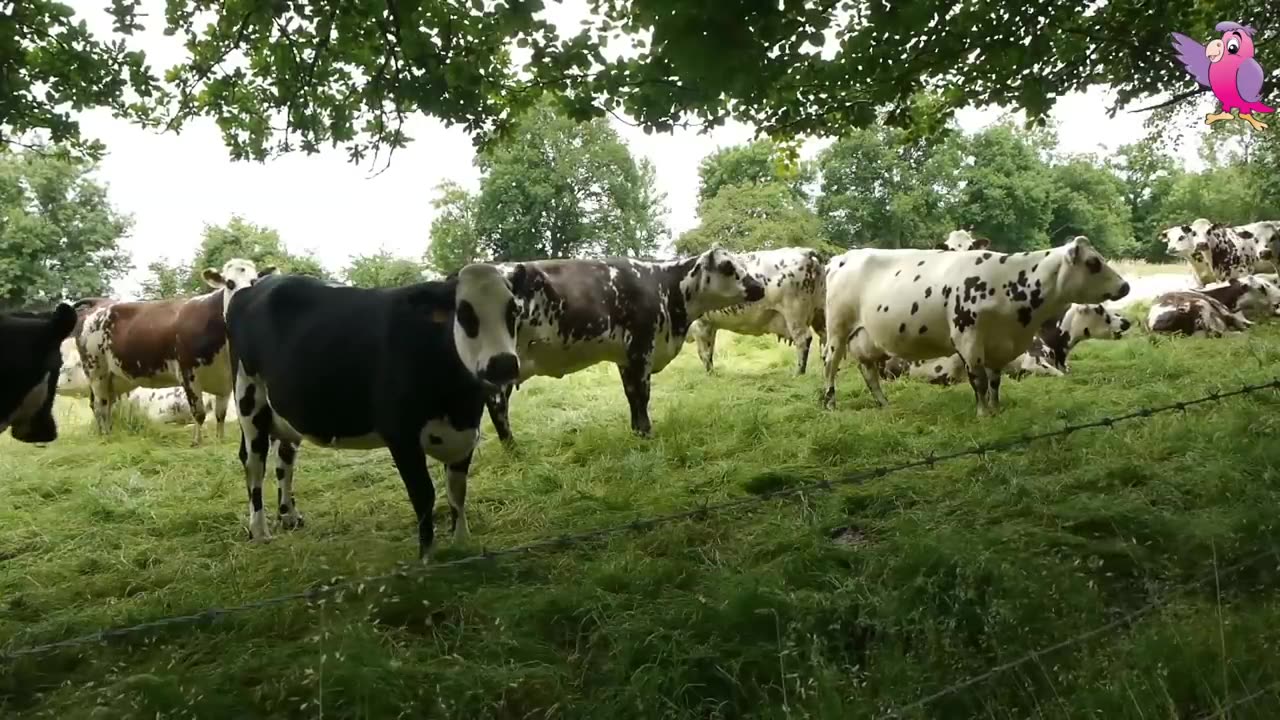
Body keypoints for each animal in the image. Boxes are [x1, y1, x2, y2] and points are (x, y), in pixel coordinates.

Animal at [77, 254, 275, 440]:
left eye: (254, 282)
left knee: (106, 404)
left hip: (115, 378)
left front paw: (219, 439)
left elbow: (221, 416)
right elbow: (199, 414)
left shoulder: (225, 381)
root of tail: (101, 304)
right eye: (229, 283)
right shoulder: (188, 373)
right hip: (96, 371)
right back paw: (106, 437)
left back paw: (107, 433)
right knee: (100, 406)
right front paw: (197, 442)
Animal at [227, 260, 527, 558]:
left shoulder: (466, 433)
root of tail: (257, 286)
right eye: (464, 313)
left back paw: (289, 516)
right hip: (248, 397)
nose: (503, 363)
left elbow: (457, 491)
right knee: (254, 462)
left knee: (284, 459)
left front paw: (462, 543)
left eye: (514, 311)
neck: (456, 402)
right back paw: (259, 531)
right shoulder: (401, 436)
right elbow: (423, 495)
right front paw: (427, 556)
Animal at [819, 235, 1131, 415]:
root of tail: (841, 258)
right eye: (1093, 262)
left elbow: (994, 381)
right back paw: (830, 403)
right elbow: (978, 380)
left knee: (869, 372)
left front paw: (996, 409)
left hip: (866, 339)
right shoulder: (968, 338)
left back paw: (883, 405)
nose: (1126, 286)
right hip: (836, 328)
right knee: (830, 365)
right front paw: (982, 415)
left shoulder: (999, 344)